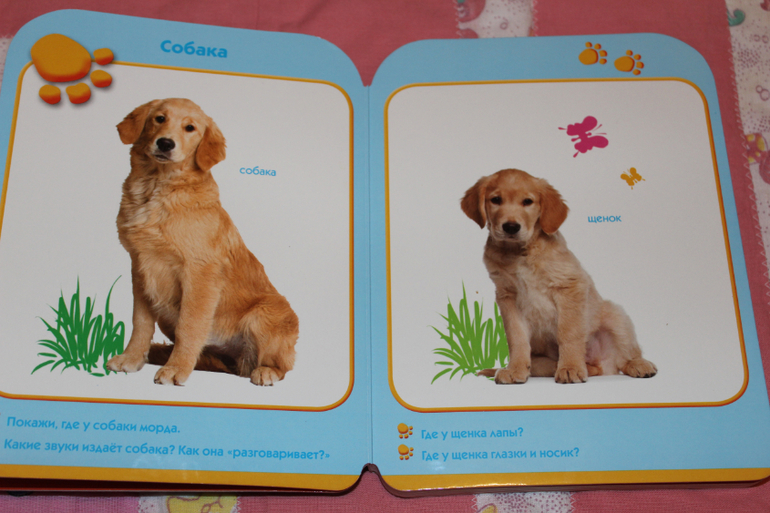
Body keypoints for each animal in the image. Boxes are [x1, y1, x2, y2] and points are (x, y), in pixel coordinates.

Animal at [106, 98, 298, 386]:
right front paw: (131, 358)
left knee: (282, 364)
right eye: (159, 118)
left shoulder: (199, 272)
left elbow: (190, 325)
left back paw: (265, 371)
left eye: (190, 128)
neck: (158, 186)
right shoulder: (140, 268)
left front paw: (176, 369)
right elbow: (140, 322)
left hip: (265, 313)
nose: (165, 143)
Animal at [461, 168, 656, 384]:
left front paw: (570, 367)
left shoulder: (569, 286)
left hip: (616, 315)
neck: (519, 253)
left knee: (626, 356)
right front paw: (515, 369)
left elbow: (569, 333)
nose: (511, 227)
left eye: (527, 202)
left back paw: (638, 365)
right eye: (496, 200)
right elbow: (516, 337)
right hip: (540, 361)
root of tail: (604, 363)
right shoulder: (507, 295)